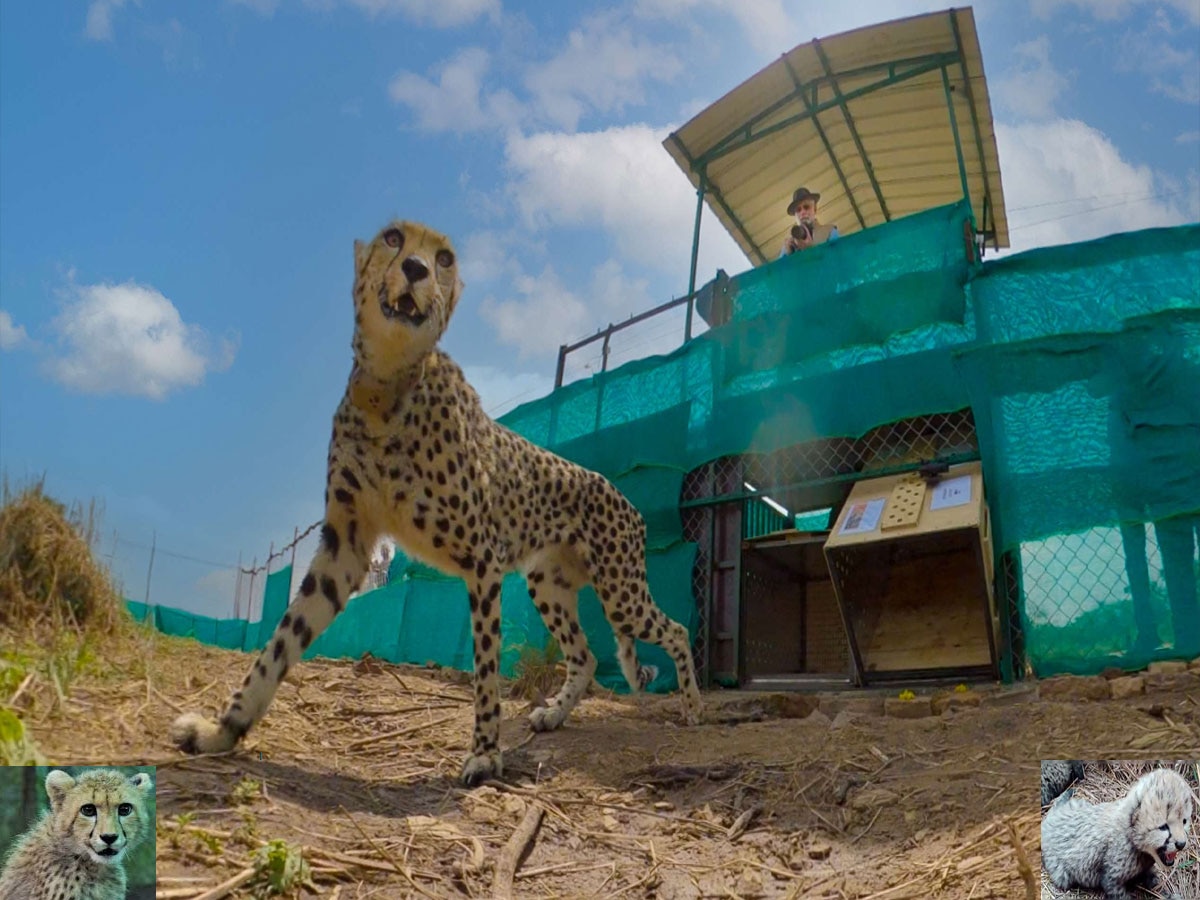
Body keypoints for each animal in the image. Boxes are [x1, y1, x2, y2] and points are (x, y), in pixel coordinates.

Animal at [174, 222, 705, 787]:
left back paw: (693, 706)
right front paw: (221, 731)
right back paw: (554, 714)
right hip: (548, 583)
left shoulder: (482, 559)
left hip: (620, 591)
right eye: (392, 240)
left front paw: (486, 755)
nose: (415, 269)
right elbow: (279, 644)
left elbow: (486, 667)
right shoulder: (347, 546)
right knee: (583, 657)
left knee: (675, 628)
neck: (387, 386)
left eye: (443, 258)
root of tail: (624, 496)